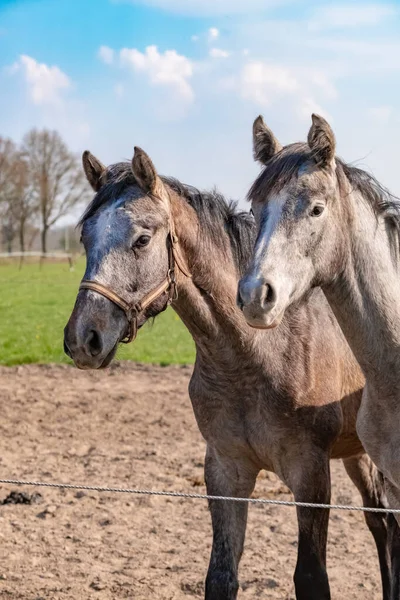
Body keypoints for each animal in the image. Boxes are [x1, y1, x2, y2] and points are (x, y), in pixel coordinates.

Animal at [64, 146, 390, 600]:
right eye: (86, 238)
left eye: (142, 239)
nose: (83, 339)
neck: (253, 357)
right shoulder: (225, 470)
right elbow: (220, 575)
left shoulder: (310, 475)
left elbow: (310, 577)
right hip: (357, 453)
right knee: (380, 522)